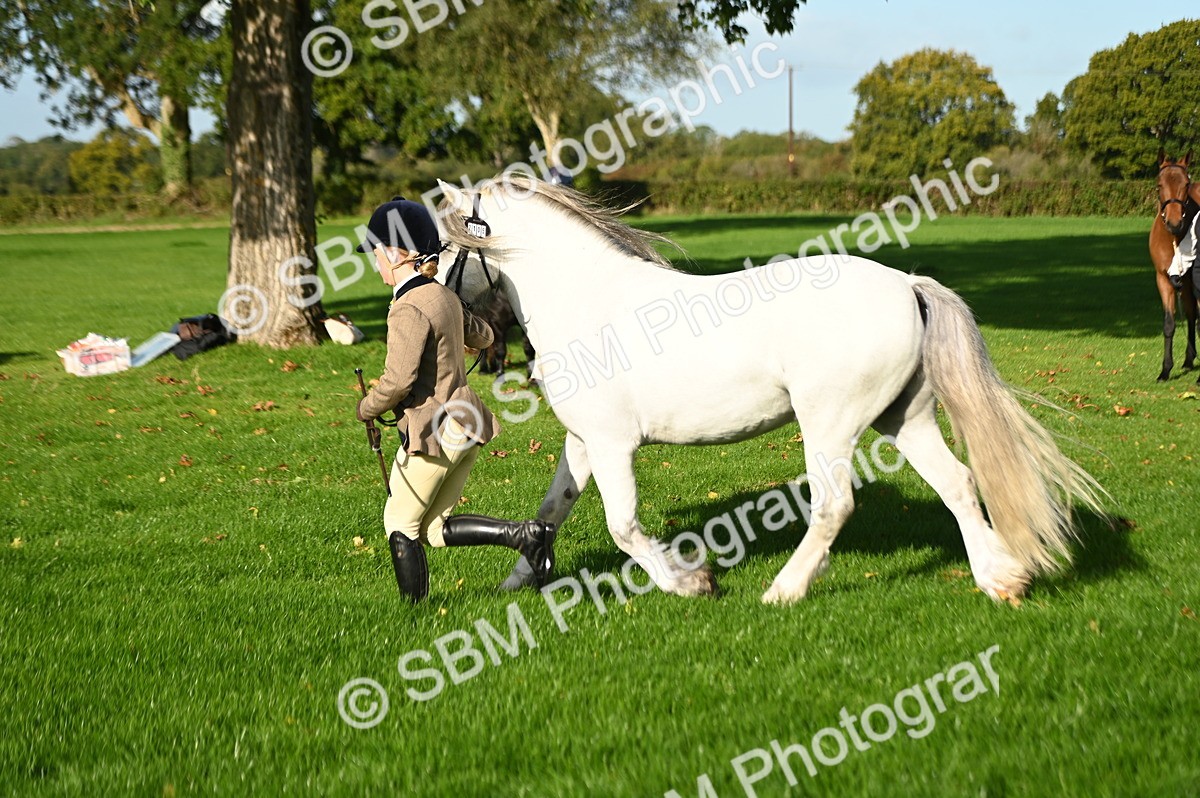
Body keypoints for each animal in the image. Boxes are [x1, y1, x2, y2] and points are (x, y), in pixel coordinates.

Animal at [433, 175, 1104, 605]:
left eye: (448, 246)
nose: (427, 292)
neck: (588, 299)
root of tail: (906, 284)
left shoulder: (612, 444)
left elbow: (623, 527)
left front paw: (692, 582)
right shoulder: (583, 441)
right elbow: (550, 512)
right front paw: (517, 580)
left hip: (830, 424)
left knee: (836, 506)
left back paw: (784, 590)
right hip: (904, 419)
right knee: (958, 484)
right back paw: (1000, 580)